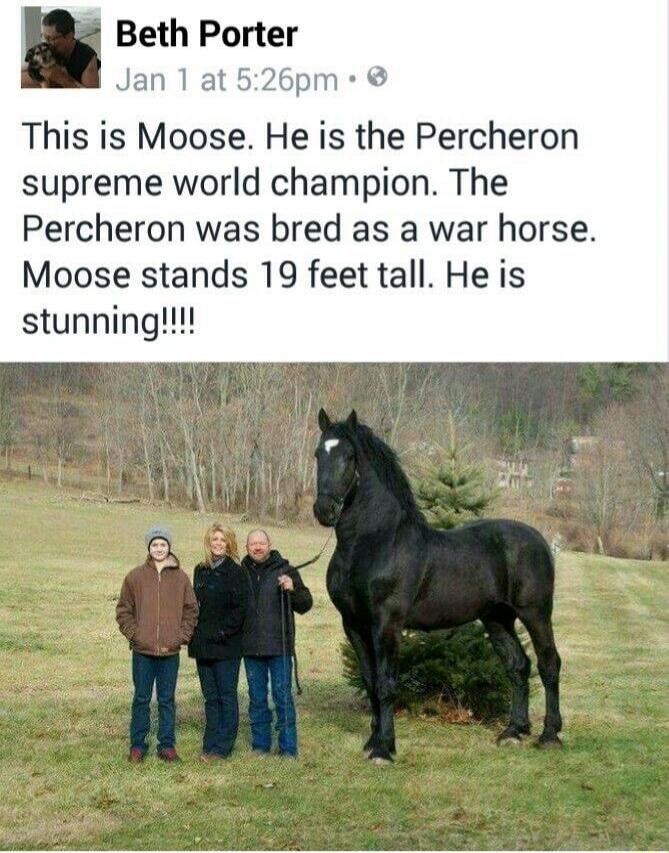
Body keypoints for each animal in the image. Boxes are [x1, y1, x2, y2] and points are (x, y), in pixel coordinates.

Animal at [313, 409, 562, 763]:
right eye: (318, 454)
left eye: (349, 456)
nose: (325, 510)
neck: (374, 543)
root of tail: (539, 540)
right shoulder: (354, 625)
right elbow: (370, 681)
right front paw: (373, 741)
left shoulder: (386, 624)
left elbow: (386, 683)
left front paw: (385, 749)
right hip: (497, 618)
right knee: (518, 665)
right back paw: (513, 732)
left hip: (535, 613)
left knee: (548, 663)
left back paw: (549, 735)